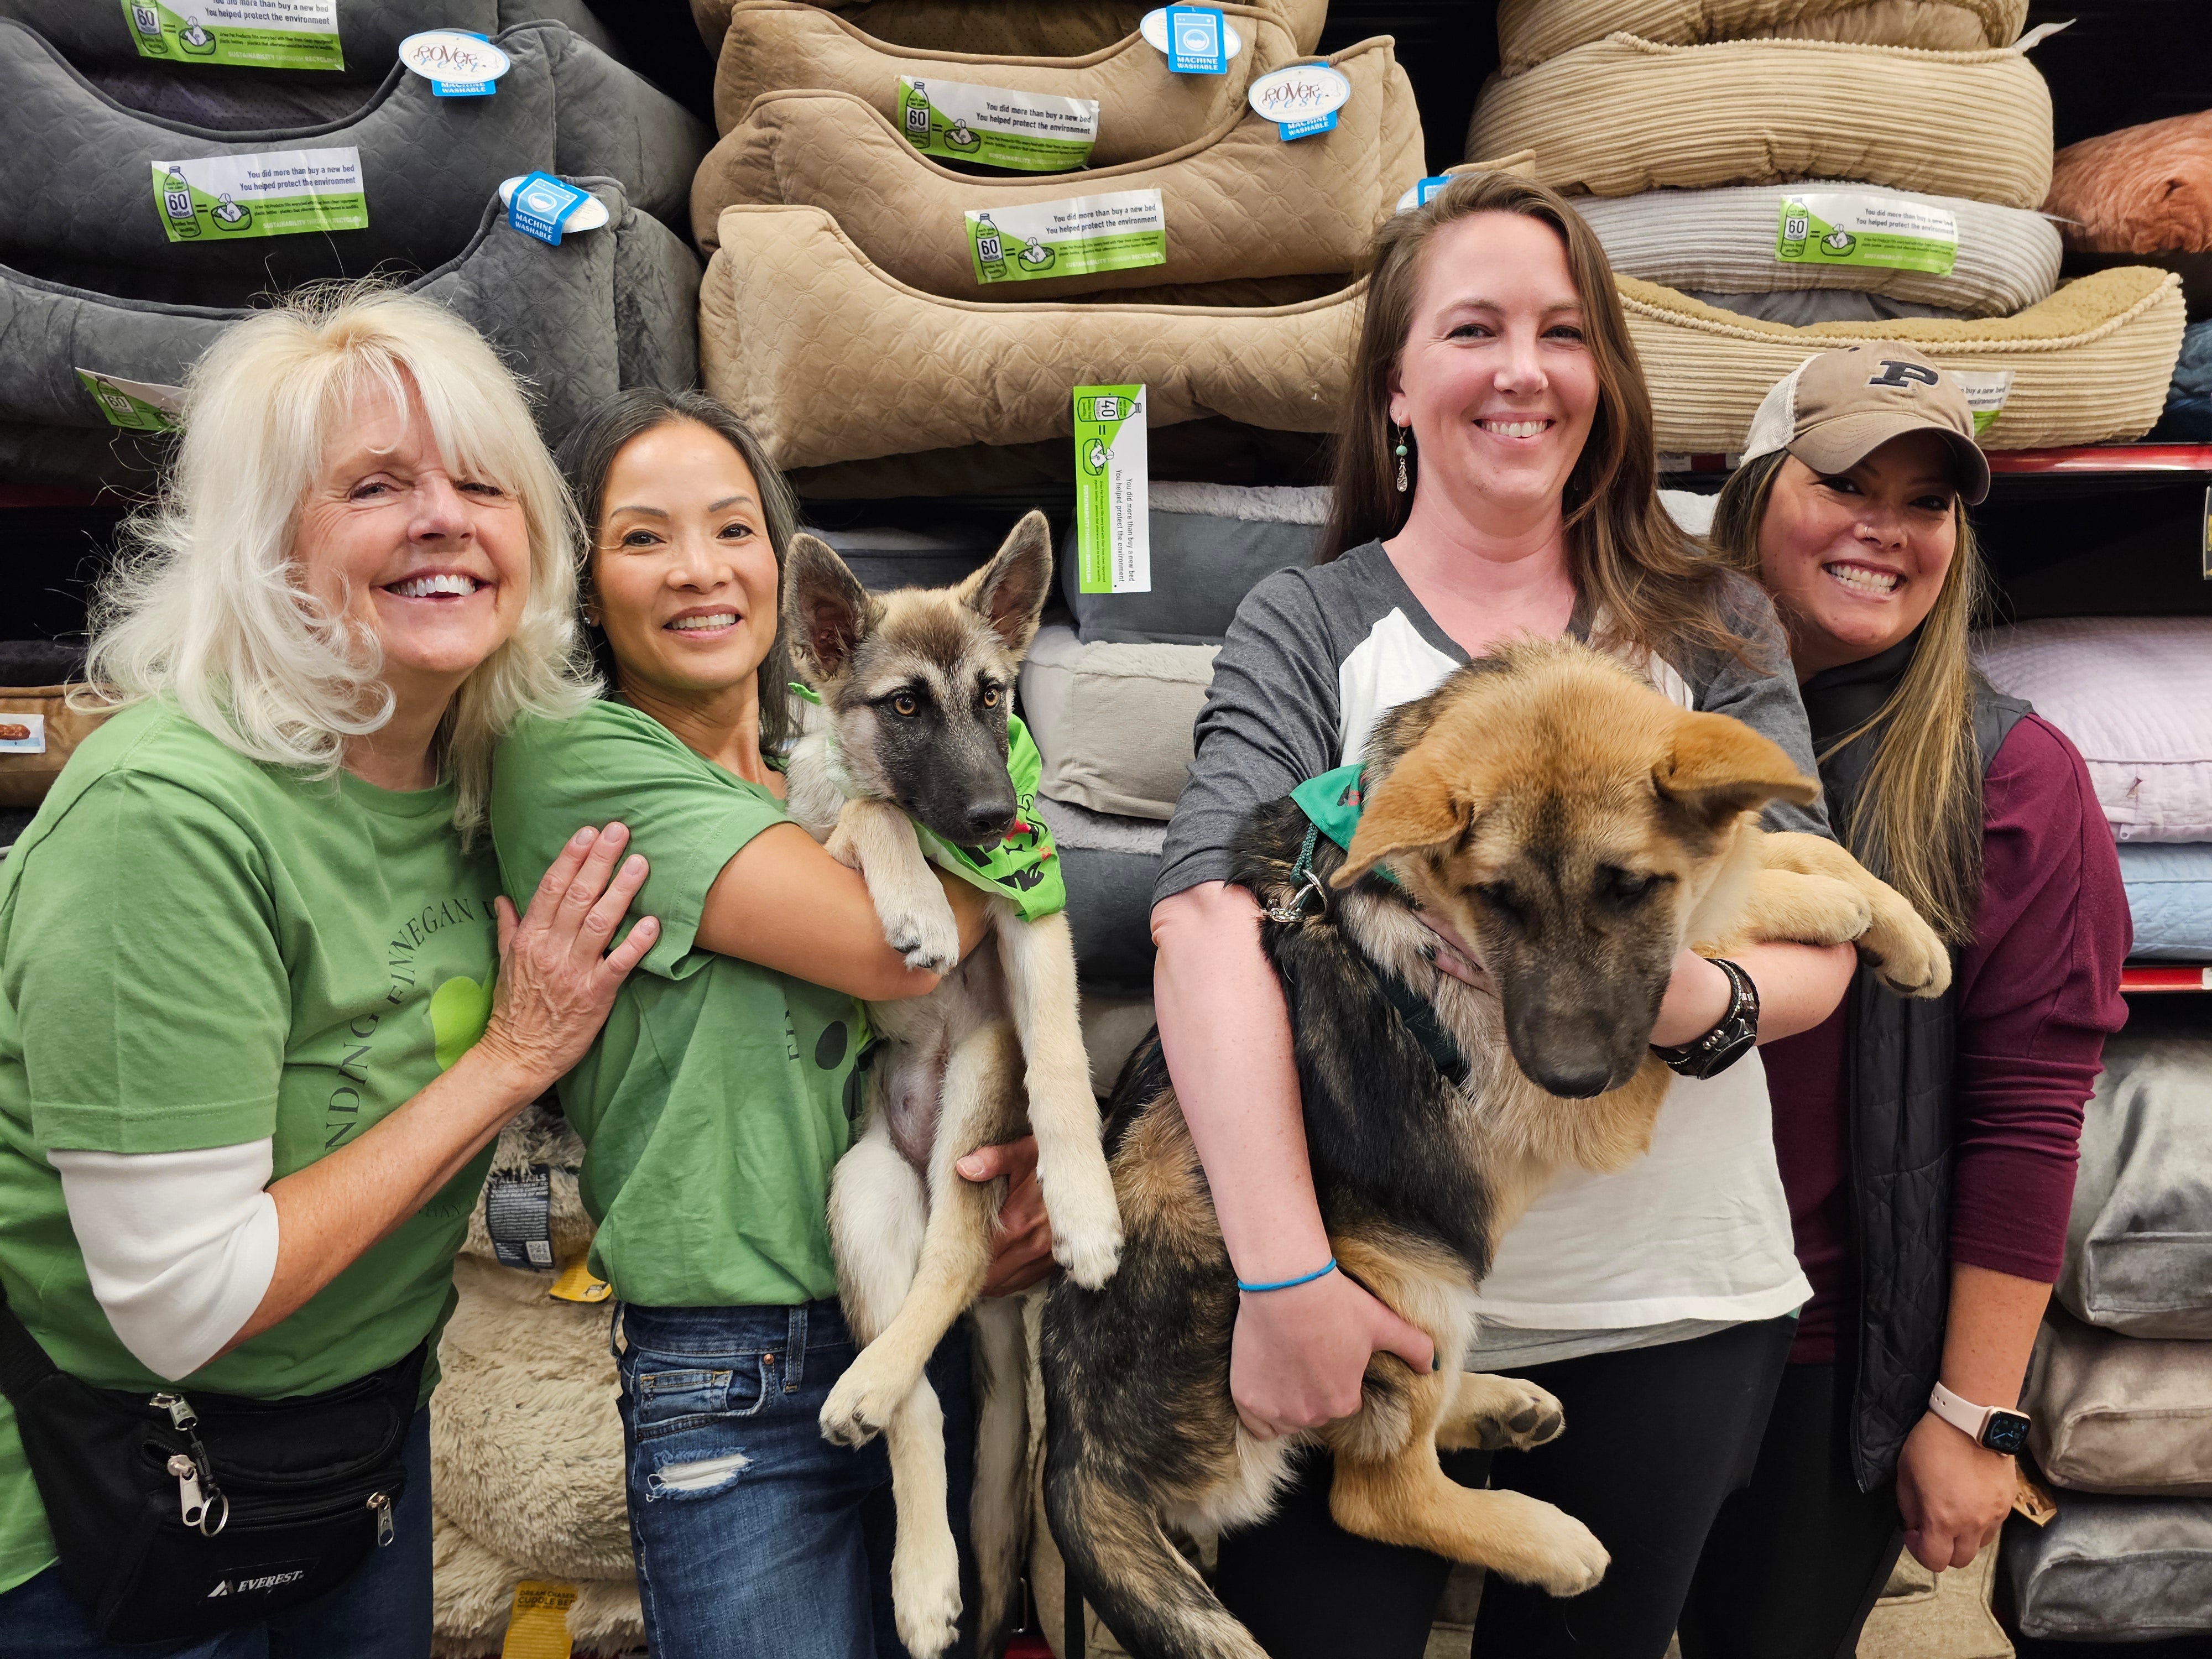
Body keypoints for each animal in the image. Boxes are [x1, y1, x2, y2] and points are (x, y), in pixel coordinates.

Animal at [779, 511, 1123, 1659]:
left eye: (991, 695)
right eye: (903, 706)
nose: (990, 817)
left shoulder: (1033, 916)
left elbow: (1060, 1059)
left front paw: (1086, 1211)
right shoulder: (817, 844)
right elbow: (873, 817)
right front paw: (919, 905)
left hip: (977, 1080)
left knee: (959, 1258)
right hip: (864, 1188)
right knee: (922, 1389)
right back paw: (917, 1555)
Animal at [1040, 636, 1951, 1659]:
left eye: (1631, 888)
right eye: (1496, 900)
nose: (1568, 1078)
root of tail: (1074, 1442)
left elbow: (1791, 846)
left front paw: (1905, 932)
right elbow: (1738, 903)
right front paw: (1830, 908)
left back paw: (1498, 1406)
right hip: (1405, 1274)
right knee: (1375, 1493)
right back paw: (1545, 1539)